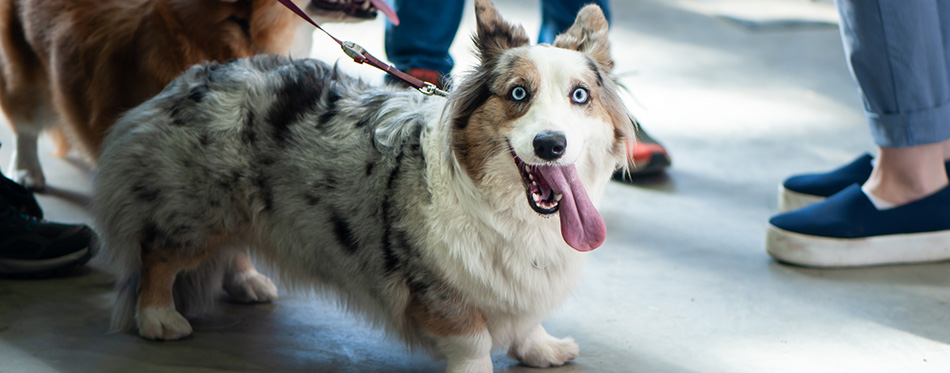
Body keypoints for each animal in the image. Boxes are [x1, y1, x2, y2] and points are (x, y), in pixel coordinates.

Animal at [96, 1, 636, 370]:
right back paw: (158, 317)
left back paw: (248, 281)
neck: (514, 213)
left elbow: (525, 321)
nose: (551, 145)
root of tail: (197, 76)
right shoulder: (439, 289)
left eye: (580, 96)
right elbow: (473, 342)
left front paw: (542, 349)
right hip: (200, 211)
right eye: (518, 93)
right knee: (158, 254)